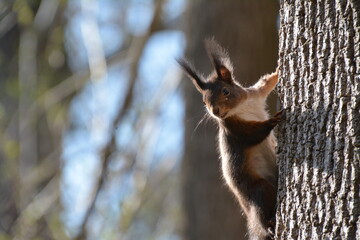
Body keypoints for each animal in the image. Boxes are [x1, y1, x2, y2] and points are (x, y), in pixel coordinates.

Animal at [179, 39, 282, 240]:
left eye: (225, 91)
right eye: (204, 101)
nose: (215, 111)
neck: (241, 106)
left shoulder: (255, 94)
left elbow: (266, 82)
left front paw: (278, 70)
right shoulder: (235, 130)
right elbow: (253, 134)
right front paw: (273, 120)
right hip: (259, 189)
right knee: (261, 211)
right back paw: (268, 226)